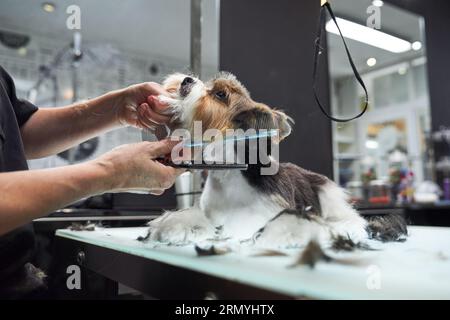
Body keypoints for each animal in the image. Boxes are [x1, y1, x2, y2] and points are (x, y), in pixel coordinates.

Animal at [142, 72, 408, 248]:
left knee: (353, 219)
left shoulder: (272, 210)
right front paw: (179, 227)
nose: (186, 80)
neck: (230, 175)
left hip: (327, 193)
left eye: (220, 94)